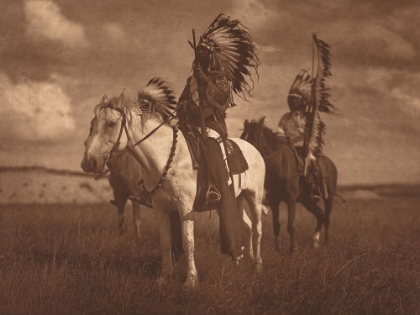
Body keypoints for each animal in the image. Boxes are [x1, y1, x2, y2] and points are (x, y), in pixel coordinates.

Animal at [80, 92, 268, 288]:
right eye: (93, 123)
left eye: (111, 123)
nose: (89, 162)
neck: (166, 159)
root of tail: (252, 148)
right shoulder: (161, 208)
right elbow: (165, 241)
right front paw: (164, 276)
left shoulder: (184, 206)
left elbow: (188, 241)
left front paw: (191, 280)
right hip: (237, 198)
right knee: (246, 226)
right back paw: (243, 261)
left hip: (254, 197)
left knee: (257, 229)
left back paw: (257, 266)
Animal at [240, 117, 338, 253]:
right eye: (242, 137)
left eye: (254, 138)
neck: (280, 166)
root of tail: (331, 164)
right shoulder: (274, 200)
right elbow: (276, 226)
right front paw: (277, 250)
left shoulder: (290, 199)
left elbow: (290, 225)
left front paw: (292, 250)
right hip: (307, 201)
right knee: (320, 214)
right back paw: (315, 243)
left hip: (329, 198)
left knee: (327, 219)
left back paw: (326, 243)